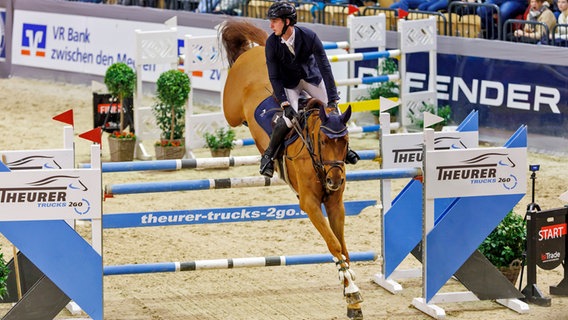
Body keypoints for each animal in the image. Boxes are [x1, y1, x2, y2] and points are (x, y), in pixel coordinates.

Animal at [220, 20, 362, 320]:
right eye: (324, 141)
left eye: (345, 141)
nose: (335, 180)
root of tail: (255, 52)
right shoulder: (310, 203)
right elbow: (334, 244)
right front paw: (353, 291)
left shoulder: (335, 203)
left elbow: (342, 247)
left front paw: (350, 295)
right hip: (231, 110)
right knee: (233, 114)